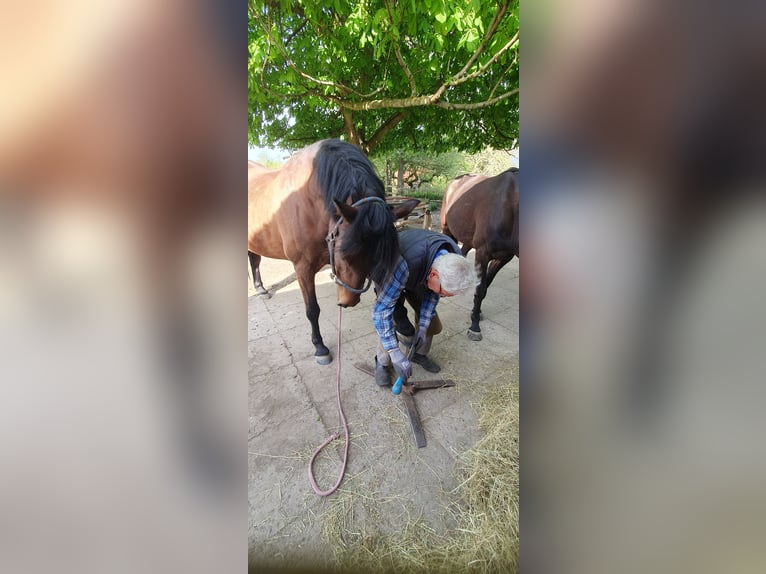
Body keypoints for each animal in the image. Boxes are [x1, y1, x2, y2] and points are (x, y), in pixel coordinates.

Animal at [250, 140, 420, 364]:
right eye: (344, 255)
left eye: (377, 259)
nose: (348, 302)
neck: (308, 201)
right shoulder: (302, 268)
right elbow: (312, 309)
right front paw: (319, 346)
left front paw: (405, 327)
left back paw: (260, 288)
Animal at [440, 166, 520, 340]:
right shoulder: (483, 254)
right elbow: (480, 288)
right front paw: (474, 326)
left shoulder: (504, 257)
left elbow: (485, 285)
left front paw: (475, 313)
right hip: (447, 229)